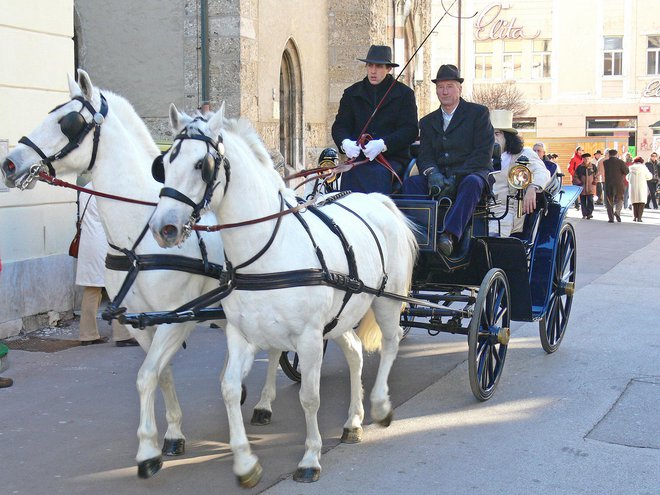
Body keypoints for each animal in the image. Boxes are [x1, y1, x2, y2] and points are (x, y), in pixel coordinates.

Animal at [0, 70, 284, 480]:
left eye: (67, 122)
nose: (10, 163)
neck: (140, 239)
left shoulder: (176, 318)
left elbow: (146, 375)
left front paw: (148, 450)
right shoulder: (140, 321)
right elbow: (160, 373)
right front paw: (173, 435)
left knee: (276, 348)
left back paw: (263, 402)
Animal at [149, 105, 418, 488]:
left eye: (202, 165)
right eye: (165, 163)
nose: (164, 228)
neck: (266, 251)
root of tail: (378, 200)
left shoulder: (308, 338)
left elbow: (309, 397)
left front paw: (310, 457)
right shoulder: (241, 333)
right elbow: (229, 388)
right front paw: (245, 462)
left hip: (386, 299)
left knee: (391, 342)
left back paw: (380, 405)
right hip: (342, 315)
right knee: (354, 353)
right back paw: (353, 421)